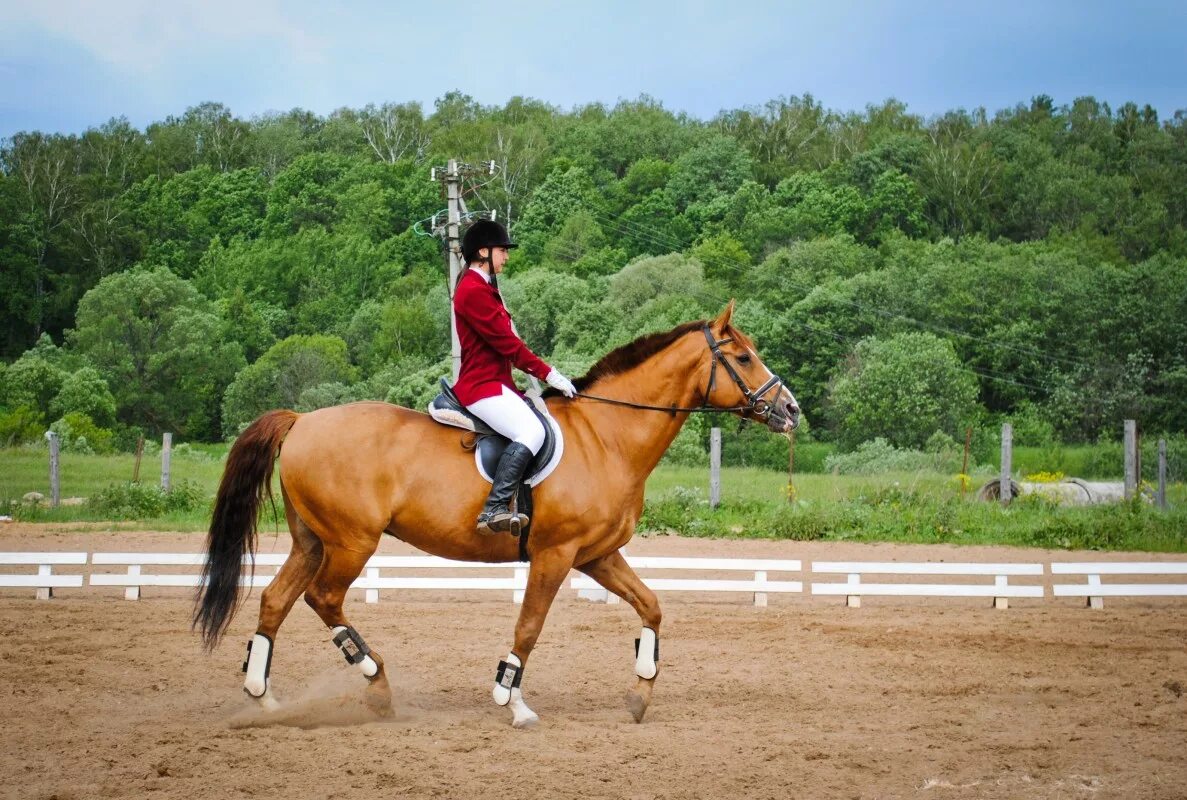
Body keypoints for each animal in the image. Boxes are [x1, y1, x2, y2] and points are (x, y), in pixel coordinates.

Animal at [194, 302, 802, 726]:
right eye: (743, 357)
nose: (791, 410)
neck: (607, 437)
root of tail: (302, 420)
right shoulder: (555, 555)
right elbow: (528, 626)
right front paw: (512, 701)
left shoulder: (598, 556)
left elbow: (652, 608)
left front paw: (640, 693)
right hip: (351, 541)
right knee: (323, 598)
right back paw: (378, 685)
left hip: (313, 540)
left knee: (275, 601)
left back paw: (265, 699)